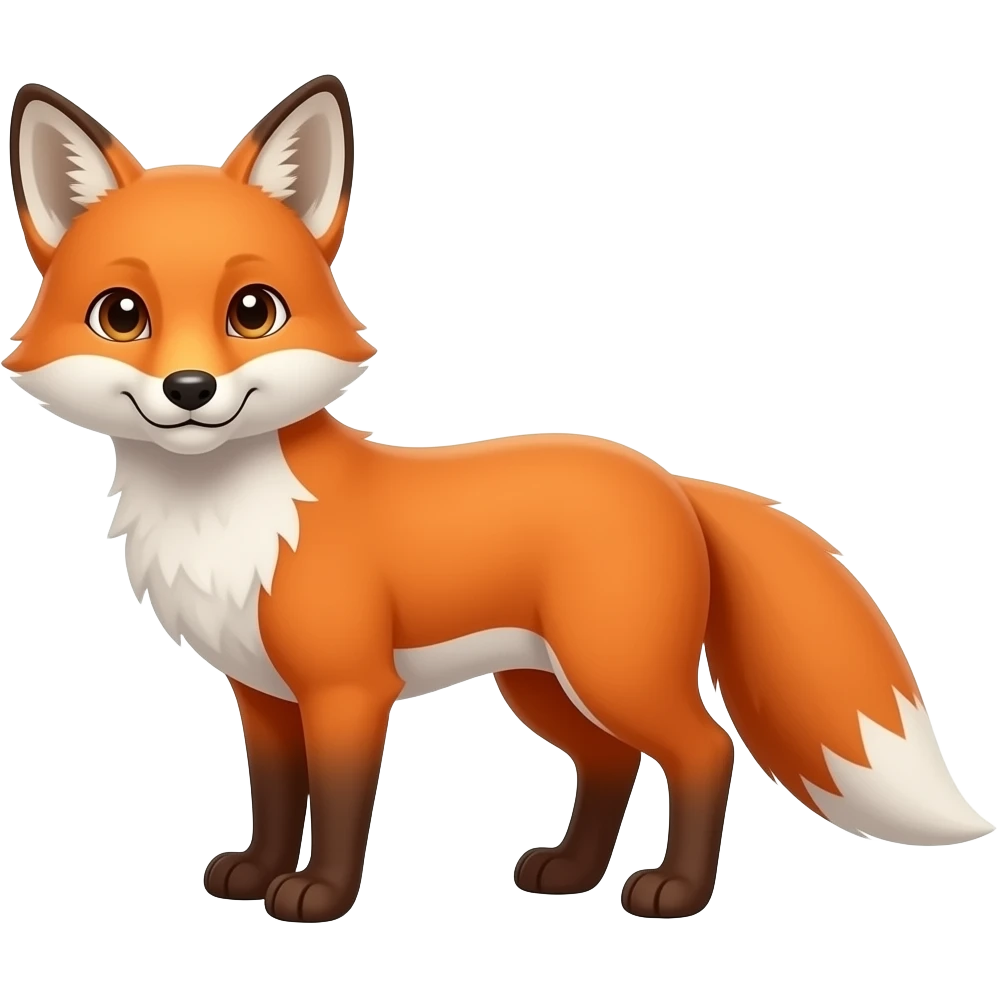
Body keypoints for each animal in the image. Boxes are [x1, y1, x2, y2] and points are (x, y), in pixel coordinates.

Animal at [6, 75, 993, 924]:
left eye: (253, 310)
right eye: (122, 314)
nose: (190, 389)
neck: (226, 518)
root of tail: (668, 478)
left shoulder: (347, 688)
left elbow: (339, 803)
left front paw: (318, 896)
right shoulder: (263, 694)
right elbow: (278, 797)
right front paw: (255, 873)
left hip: (612, 670)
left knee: (705, 751)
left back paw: (673, 891)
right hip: (543, 682)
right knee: (611, 761)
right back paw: (572, 872)